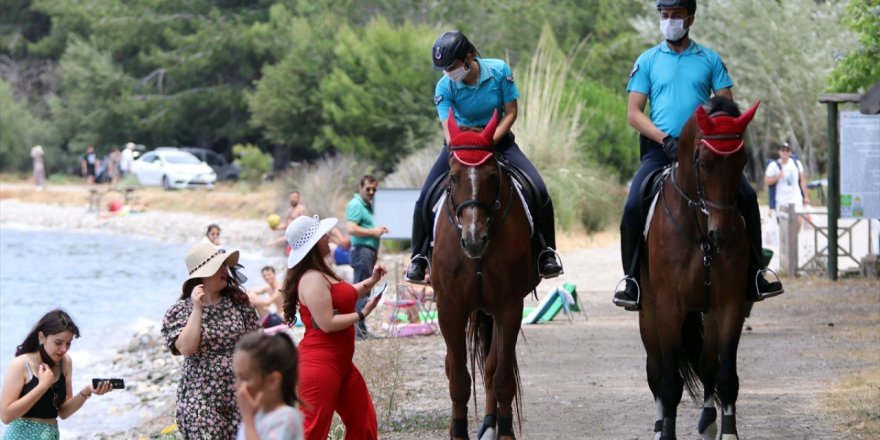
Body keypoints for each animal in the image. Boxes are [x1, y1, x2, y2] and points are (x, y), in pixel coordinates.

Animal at [432, 110, 536, 440]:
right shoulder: (449, 308)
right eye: (453, 177)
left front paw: (505, 432)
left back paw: (492, 423)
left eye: (492, 177)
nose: (474, 239)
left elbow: (501, 376)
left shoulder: (509, 306)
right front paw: (458, 432)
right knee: (456, 367)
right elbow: (458, 379)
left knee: (492, 367)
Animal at [640, 97, 764, 440]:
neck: (700, 232)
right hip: (648, 313)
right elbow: (669, 384)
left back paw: (708, 422)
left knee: (708, 364)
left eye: (741, 163)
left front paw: (729, 433)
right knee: (655, 372)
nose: (721, 234)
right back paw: (659, 427)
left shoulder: (731, 303)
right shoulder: (669, 307)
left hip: (709, 311)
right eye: (705, 163)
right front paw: (667, 434)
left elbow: (726, 376)